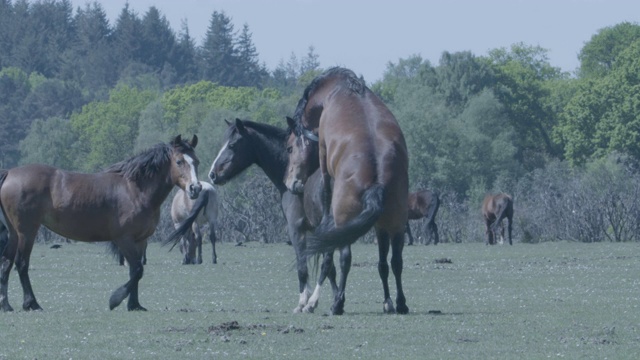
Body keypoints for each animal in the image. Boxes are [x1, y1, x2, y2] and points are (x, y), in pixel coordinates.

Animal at [0, 136, 201, 312]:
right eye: (179, 161)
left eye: (196, 162)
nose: (195, 188)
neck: (134, 189)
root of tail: (10, 173)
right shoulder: (124, 239)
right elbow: (137, 270)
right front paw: (115, 300)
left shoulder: (139, 240)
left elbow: (135, 271)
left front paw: (134, 305)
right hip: (26, 232)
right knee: (21, 263)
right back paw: (31, 303)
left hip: (14, 233)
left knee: (6, 262)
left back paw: (6, 305)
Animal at [178, 117, 338, 312]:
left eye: (232, 144)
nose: (213, 174)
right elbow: (326, 269)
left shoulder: (296, 229)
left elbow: (303, 265)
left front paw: (304, 302)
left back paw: (313, 302)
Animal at [284, 67, 410, 316]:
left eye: (290, 148)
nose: (291, 183)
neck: (339, 90)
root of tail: (378, 181)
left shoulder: (323, 154)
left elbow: (325, 186)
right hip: (395, 224)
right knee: (395, 260)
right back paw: (400, 303)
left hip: (346, 223)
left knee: (344, 258)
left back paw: (337, 304)